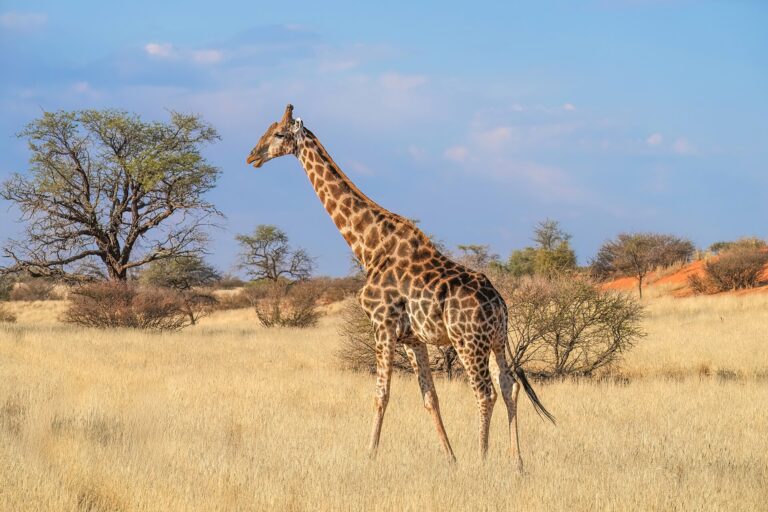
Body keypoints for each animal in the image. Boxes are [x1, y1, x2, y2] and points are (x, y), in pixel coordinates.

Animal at [246, 105, 554, 468]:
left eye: (279, 134)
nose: (252, 156)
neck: (368, 247)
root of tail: (499, 304)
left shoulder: (382, 326)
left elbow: (381, 394)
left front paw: (369, 453)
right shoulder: (413, 338)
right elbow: (429, 397)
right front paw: (450, 458)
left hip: (468, 342)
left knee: (485, 392)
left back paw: (482, 458)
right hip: (496, 340)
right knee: (509, 386)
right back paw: (516, 463)